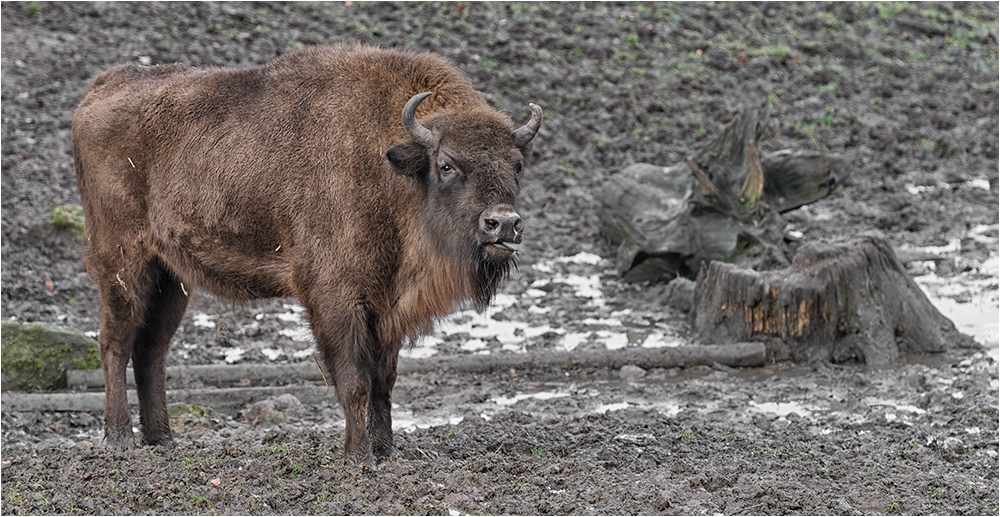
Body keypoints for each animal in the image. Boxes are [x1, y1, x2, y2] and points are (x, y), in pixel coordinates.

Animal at [73, 45, 544, 464]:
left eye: (517, 164)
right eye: (446, 164)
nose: (503, 224)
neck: (390, 167)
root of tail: (99, 90)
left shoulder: (385, 307)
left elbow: (384, 381)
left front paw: (386, 451)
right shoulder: (335, 297)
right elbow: (354, 380)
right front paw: (358, 457)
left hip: (171, 278)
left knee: (151, 349)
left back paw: (163, 440)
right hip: (123, 263)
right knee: (115, 342)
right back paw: (119, 438)